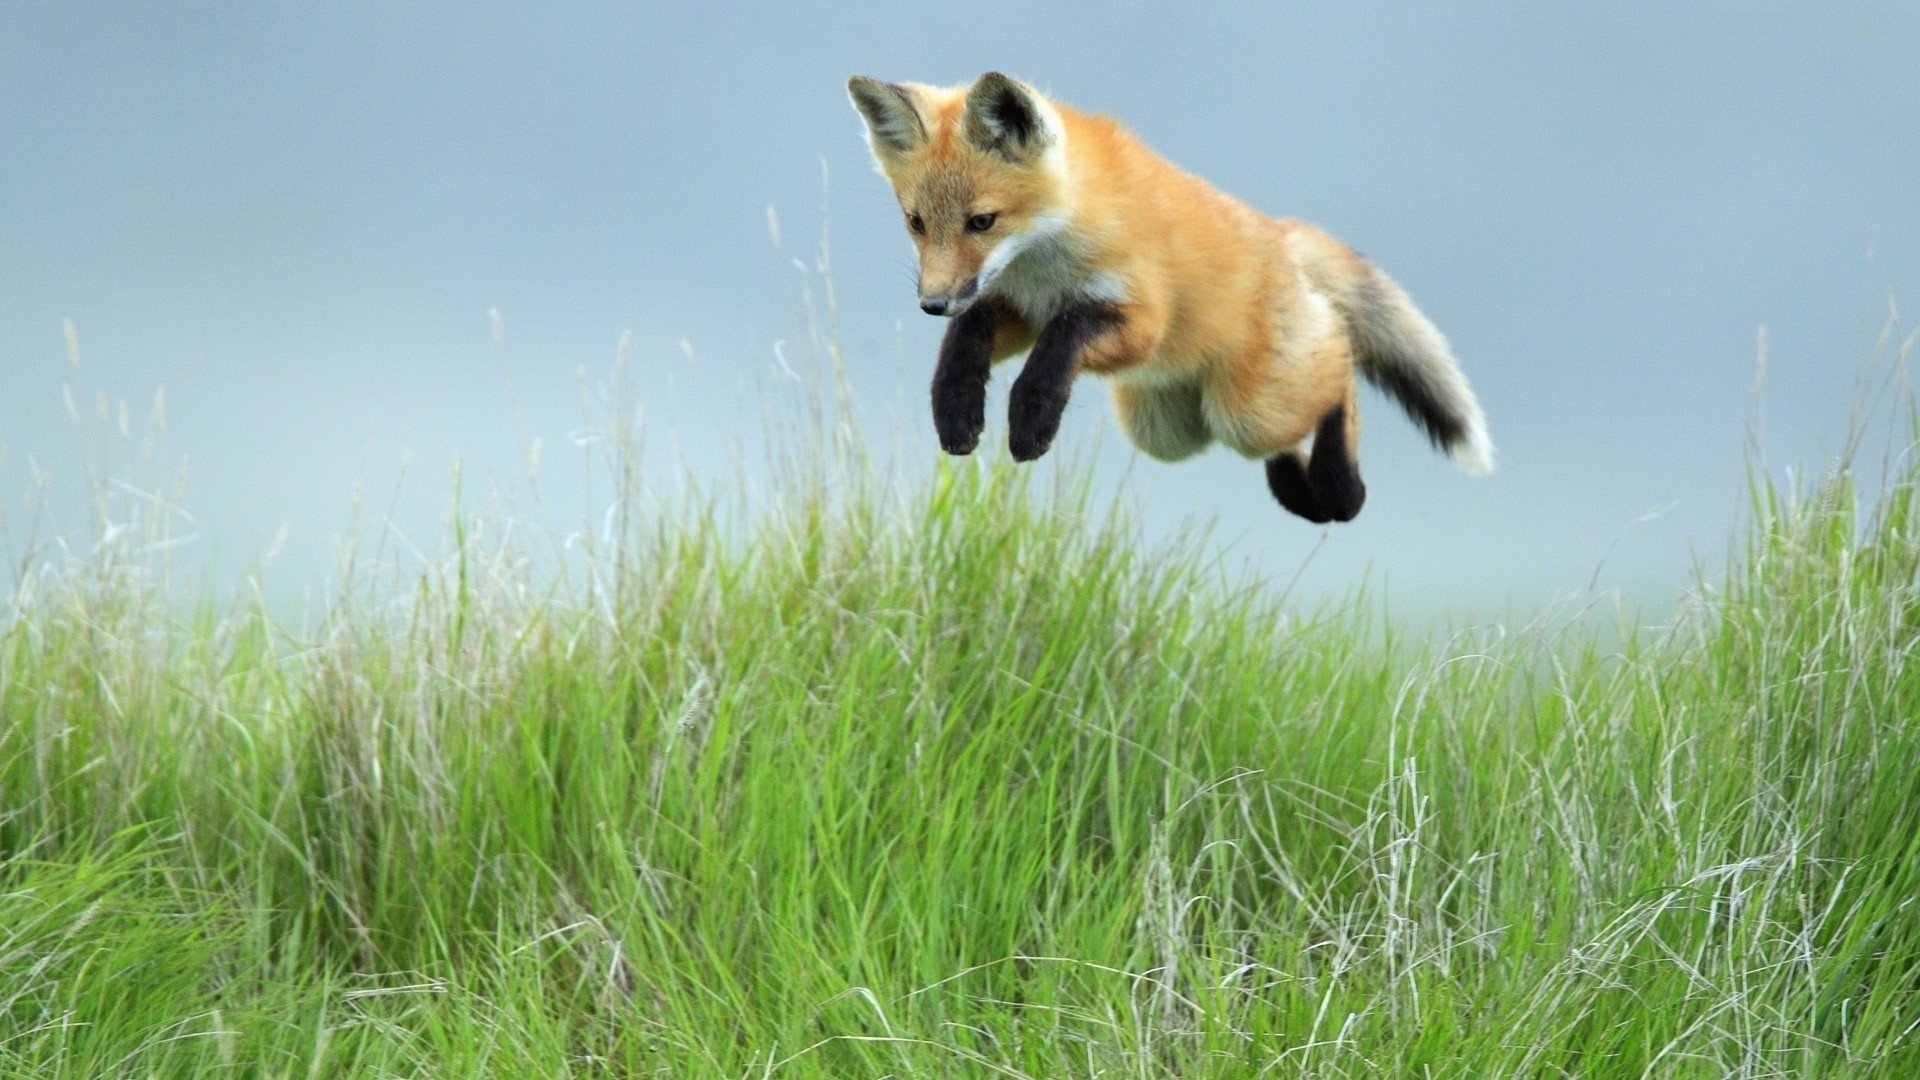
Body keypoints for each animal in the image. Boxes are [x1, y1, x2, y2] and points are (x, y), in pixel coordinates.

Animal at [846, 71, 1494, 523]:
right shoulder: (1014, 307)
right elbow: (967, 339)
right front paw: (955, 407)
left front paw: (1032, 416)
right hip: (1168, 430)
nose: (931, 303)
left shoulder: (1138, 321)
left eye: (982, 222)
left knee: (1341, 369)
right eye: (916, 223)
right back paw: (1304, 494)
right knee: (1287, 430)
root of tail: (1282, 234)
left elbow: (1064, 337)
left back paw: (1343, 488)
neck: (1045, 263)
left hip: (1248, 409)